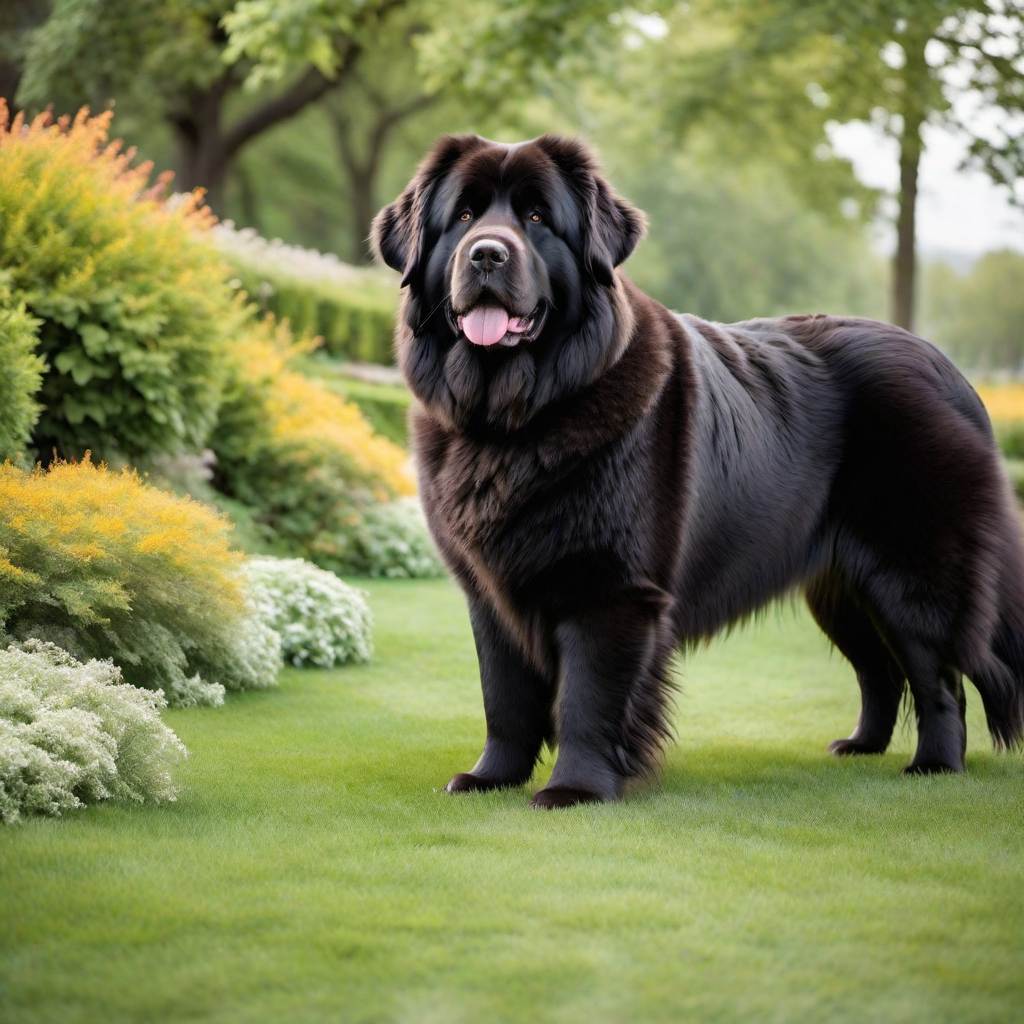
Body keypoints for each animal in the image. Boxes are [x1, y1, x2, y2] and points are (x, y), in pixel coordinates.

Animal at [372, 134, 1024, 806]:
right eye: (464, 217)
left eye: (536, 218)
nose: (487, 254)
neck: (515, 418)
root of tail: (951, 372)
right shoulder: (492, 591)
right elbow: (504, 697)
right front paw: (491, 777)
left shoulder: (611, 589)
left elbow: (588, 698)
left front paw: (574, 790)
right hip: (841, 586)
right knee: (879, 668)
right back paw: (860, 746)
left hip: (911, 575)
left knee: (938, 675)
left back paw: (934, 765)